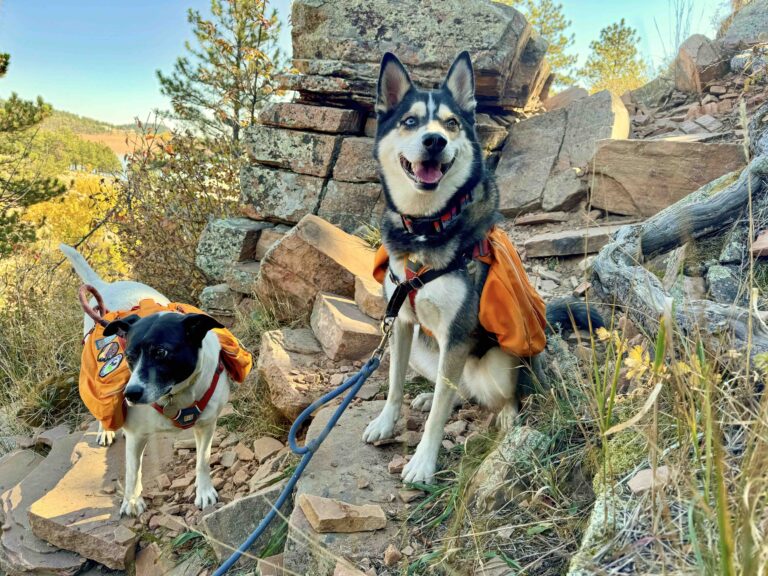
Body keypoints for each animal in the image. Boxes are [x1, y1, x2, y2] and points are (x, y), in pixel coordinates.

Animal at [60, 245, 228, 516]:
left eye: (161, 352)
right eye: (129, 356)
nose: (131, 394)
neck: (176, 396)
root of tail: (105, 285)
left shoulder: (207, 424)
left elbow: (203, 460)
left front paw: (204, 491)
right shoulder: (136, 434)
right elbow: (132, 472)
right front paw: (131, 501)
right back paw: (105, 429)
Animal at [364, 51, 604, 484]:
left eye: (451, 123)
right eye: (410, 121)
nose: (435, 140)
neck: (426, 227)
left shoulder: (457, 334)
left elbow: (439, 414)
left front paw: (423, 462)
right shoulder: (402, 323)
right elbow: (394, 385)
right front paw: (386, 422)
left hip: (499, 360)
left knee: (502, 394)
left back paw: (507, 416)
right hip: (427, 348)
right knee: (454, 391)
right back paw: (429, 397)